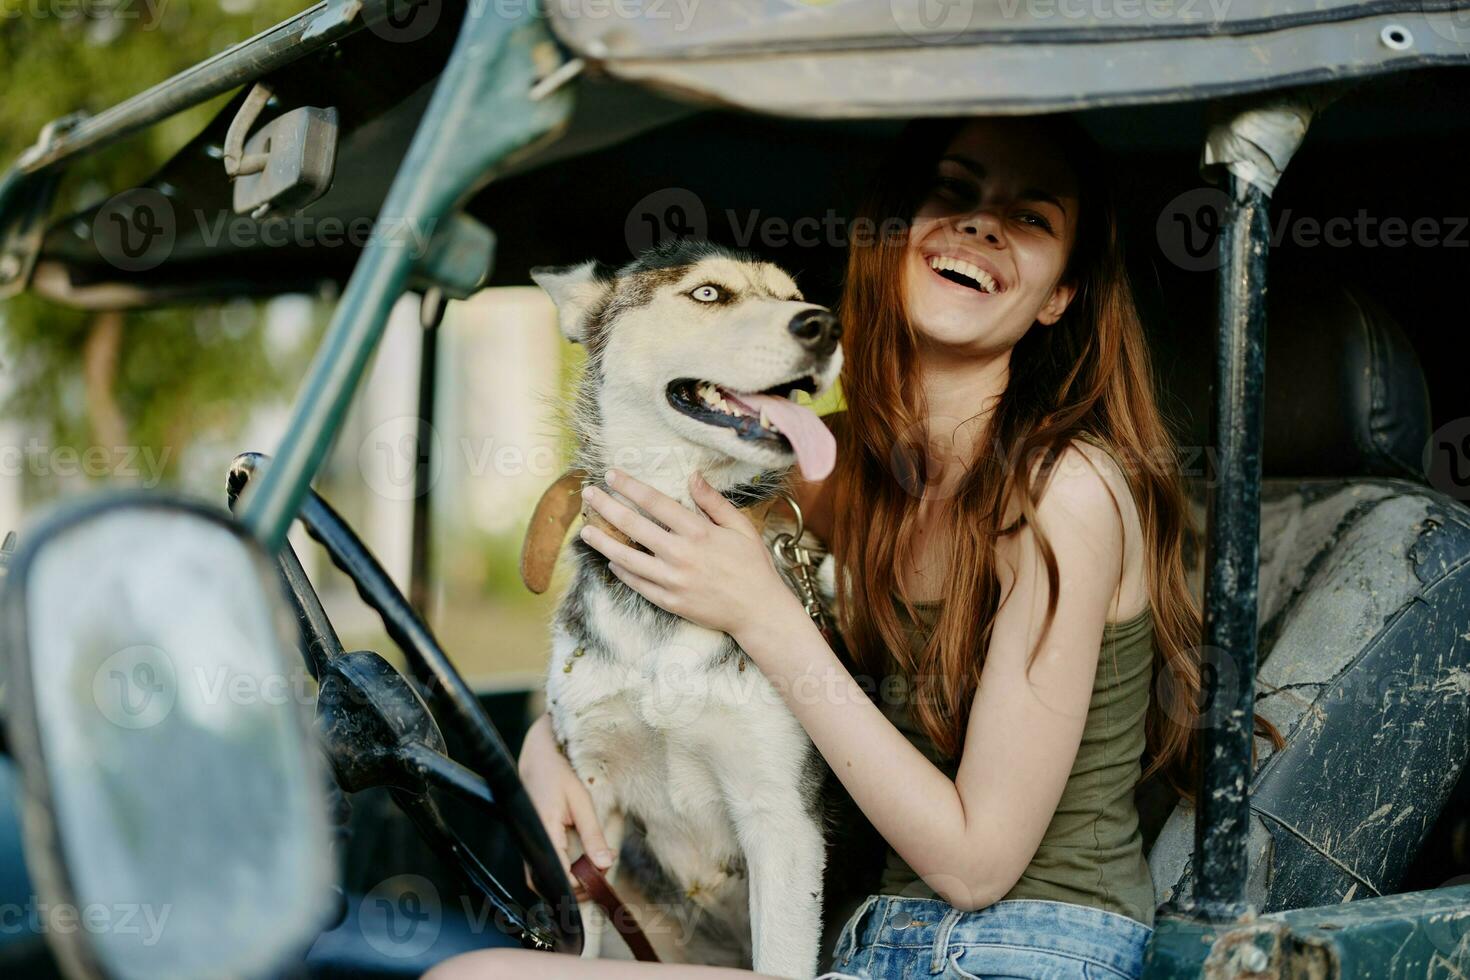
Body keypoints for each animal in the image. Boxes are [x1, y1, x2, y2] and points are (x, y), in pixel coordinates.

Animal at [532, 240, 846, 975]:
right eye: (708, 294)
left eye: (795, 297)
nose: (823, 325)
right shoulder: (593, 798)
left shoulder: (782, 819)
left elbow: (783, 957)